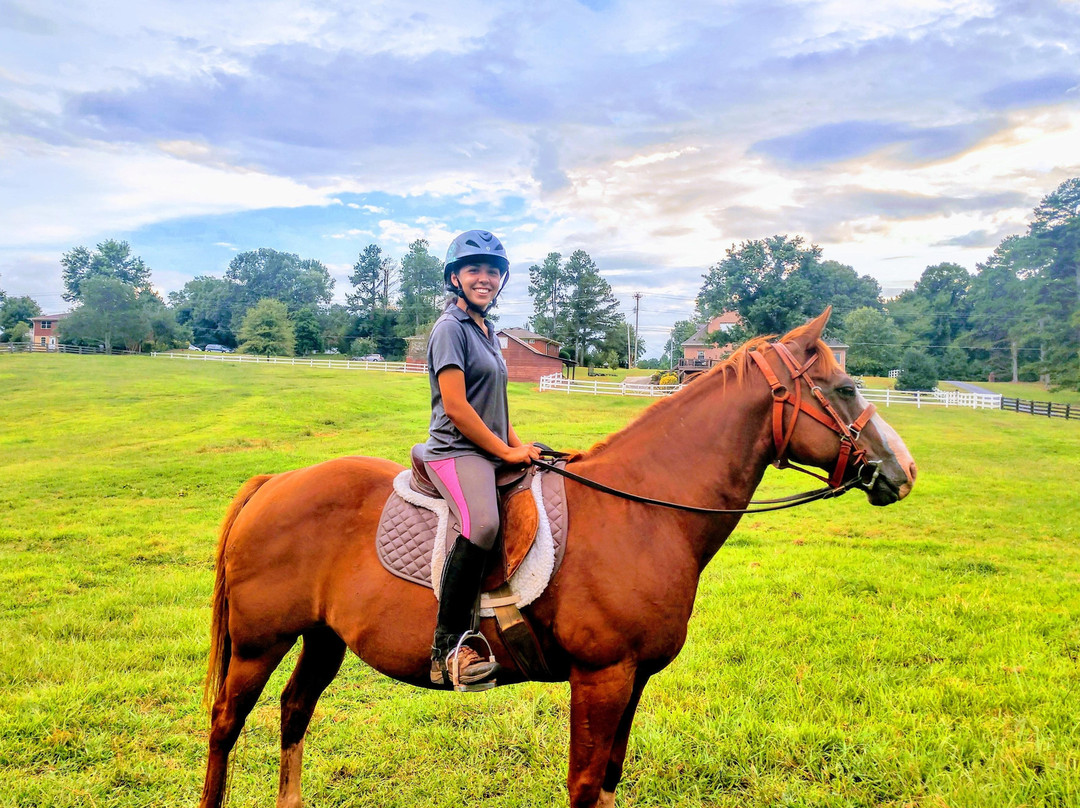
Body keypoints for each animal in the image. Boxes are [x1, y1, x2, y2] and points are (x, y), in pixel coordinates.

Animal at [198, 311, 915, 808]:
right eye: (845, 387)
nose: (903, 471)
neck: (643, 511)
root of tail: (275, 481)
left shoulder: (633, 680)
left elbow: (609, 782)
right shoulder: (600, 678)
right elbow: (584, 785)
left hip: (322, 637)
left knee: (295, 710)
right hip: (261, 643)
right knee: (225, 725)